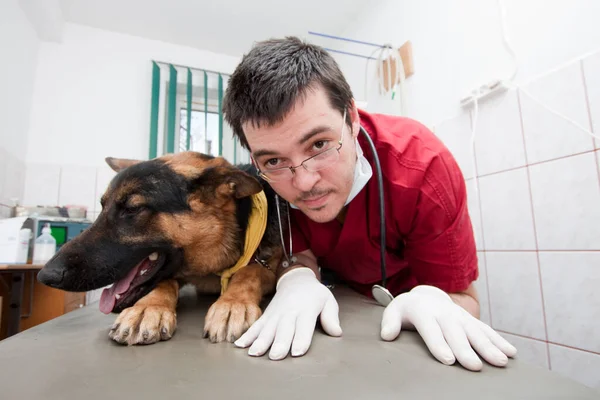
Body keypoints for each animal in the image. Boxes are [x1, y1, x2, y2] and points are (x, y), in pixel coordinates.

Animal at [36, 152, 284, 346]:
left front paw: (233, 303)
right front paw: (147, 308)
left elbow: (249, 272)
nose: (45, 275)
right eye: (103, 206)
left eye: (132, 209)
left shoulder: (270, 267)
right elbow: (162, 282)